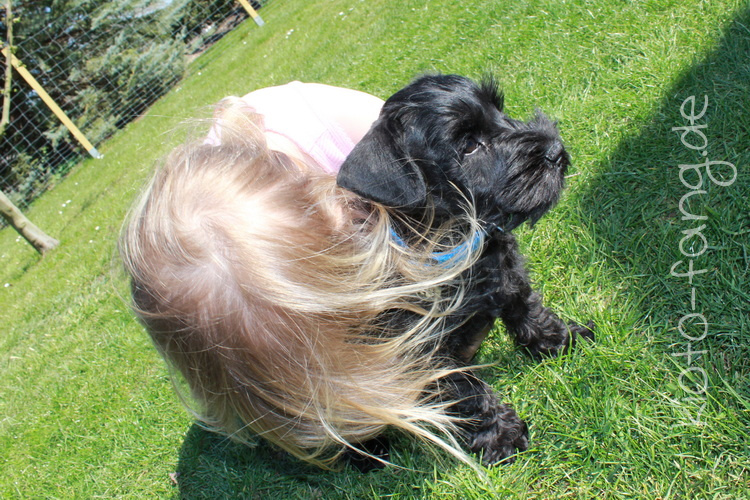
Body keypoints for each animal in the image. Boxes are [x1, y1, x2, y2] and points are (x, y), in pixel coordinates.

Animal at [337, 74, 594, 466]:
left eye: (499, 111)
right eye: (470, 145)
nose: (554, 150)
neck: (453, 243)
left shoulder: (508, 275)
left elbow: (530, 311)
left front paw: (563, 340)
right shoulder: (421, 354)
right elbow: (468, 392)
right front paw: (502, 436)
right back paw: (366, 451)